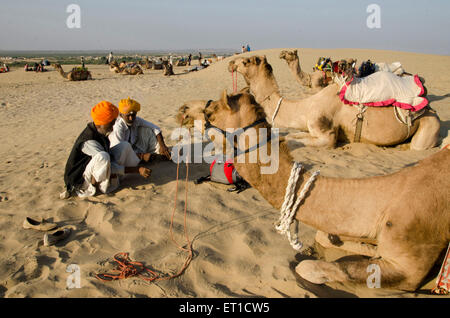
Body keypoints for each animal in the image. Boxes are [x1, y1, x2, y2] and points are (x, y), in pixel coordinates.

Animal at [185, 89, 446, 290]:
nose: (184, 111)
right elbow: (326, 236)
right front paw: (363, 247)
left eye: (210, 112)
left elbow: (308, 267)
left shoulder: (410, 266)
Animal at [229, 55, 440, 151]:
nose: (230, 63)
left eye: (246, 61)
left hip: (429, 124)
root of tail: (432, 109)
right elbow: (292, 134)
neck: (305, 107)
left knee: (418, 146)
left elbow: (294, 139)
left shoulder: (326, 132)